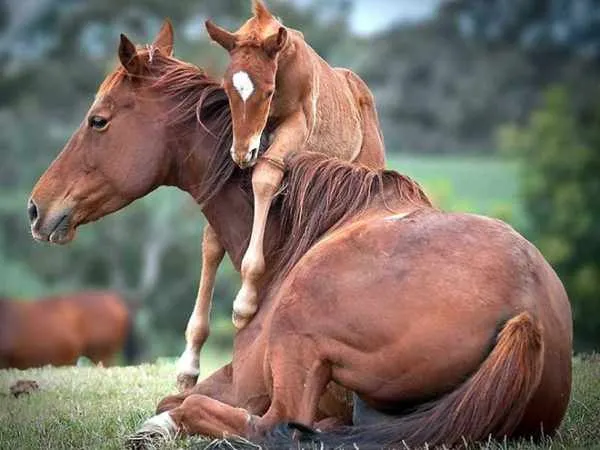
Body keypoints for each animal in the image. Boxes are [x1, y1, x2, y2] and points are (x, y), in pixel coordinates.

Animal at [205, 0, 384, 330]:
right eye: (227, 89)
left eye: (268, 92)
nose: (242, 153)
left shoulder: (297, 125)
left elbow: (265, 176)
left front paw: (244, 303)